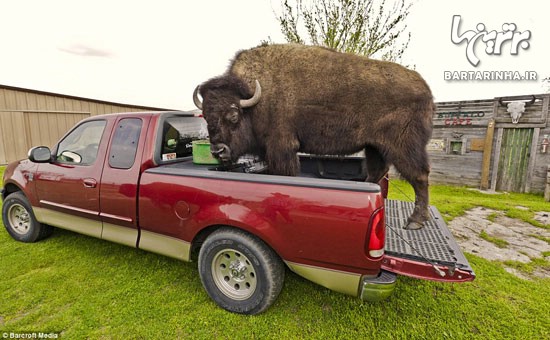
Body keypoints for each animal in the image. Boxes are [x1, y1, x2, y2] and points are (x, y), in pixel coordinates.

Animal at [194, 43, 436, 230]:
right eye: (205, 116)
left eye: (233, 115)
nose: (218, 151)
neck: (255, 98)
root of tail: (425, 89)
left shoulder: (282, 146)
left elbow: (285, 173)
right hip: (374, 146)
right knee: (379, 171)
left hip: (403, 147)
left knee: (420, 176)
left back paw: (415, 221)